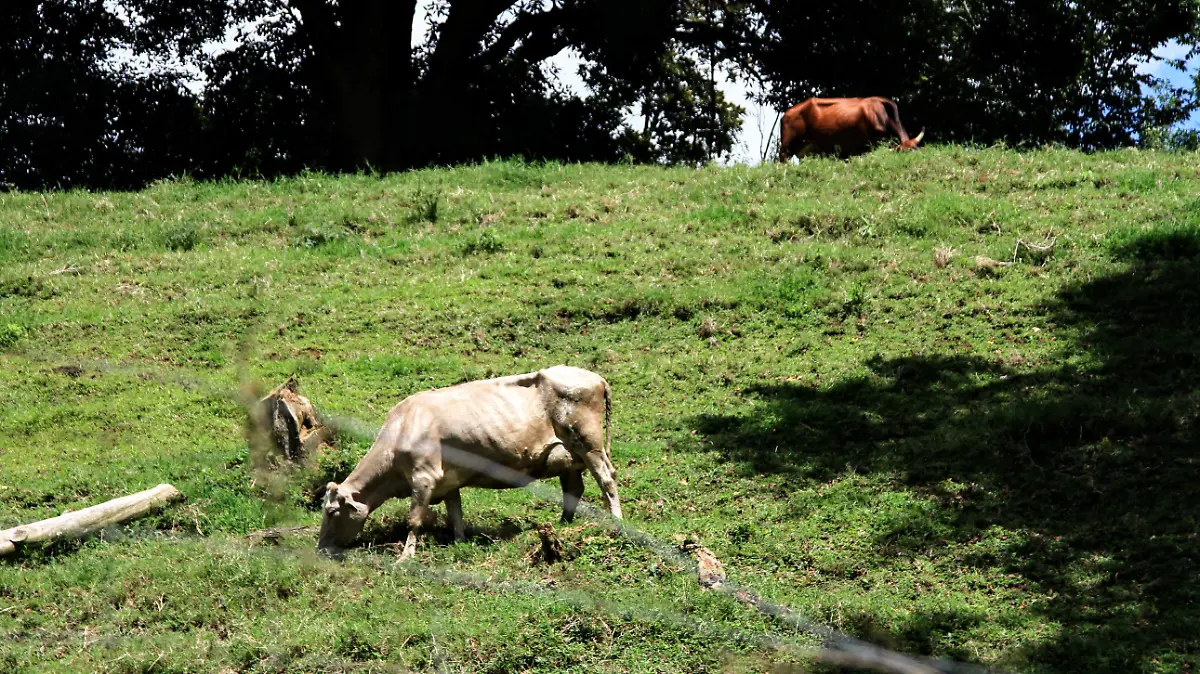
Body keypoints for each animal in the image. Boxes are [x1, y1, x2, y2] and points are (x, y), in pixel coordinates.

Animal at [317, 365, 621, 560]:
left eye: (331, 512)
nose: (320, 547)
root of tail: (596, 377)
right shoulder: (448, 481)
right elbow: (456, 513)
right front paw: (460, 542)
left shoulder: (423, 476)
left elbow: (414, 519)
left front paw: (405, 556)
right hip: (568, 455)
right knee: (574, 488)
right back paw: (563, 524)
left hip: (590, 443)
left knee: (607, 480)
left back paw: (615, 522)